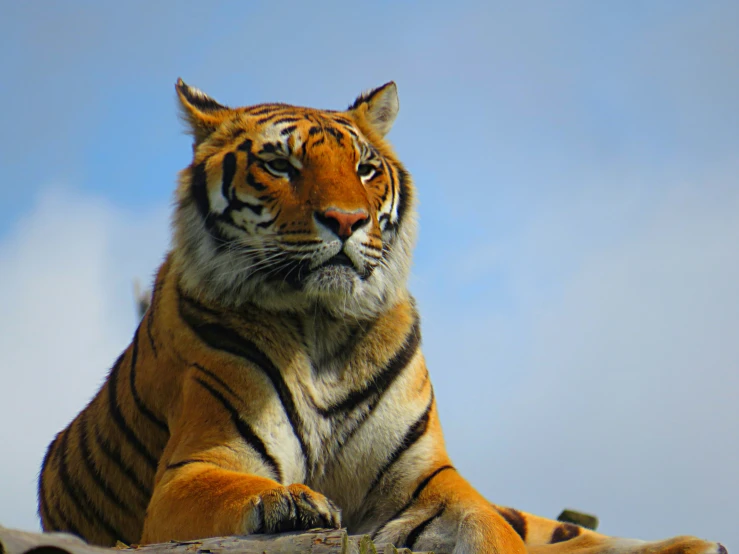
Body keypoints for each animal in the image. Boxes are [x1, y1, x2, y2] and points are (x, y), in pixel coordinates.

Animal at [37, 78, 724, 552]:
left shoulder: (427, 479)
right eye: (279, 164)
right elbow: (243, 488)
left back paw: (695, 543)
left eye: (366, 169)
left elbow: (494, 527)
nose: (347, 221)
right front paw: (294, 504)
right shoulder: (195, 467)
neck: (321, 326)